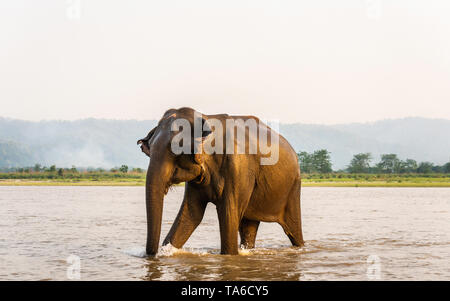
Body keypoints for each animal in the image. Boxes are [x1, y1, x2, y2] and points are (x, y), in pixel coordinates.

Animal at [139, 106, 304, 254]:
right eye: (149, 149)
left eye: (176, 148)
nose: (153, 254)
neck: (205, 117)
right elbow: (191, 214)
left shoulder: (238, 167)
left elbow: (228, 215)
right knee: (249, 226)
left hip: (293, 187)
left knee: (293, 230)